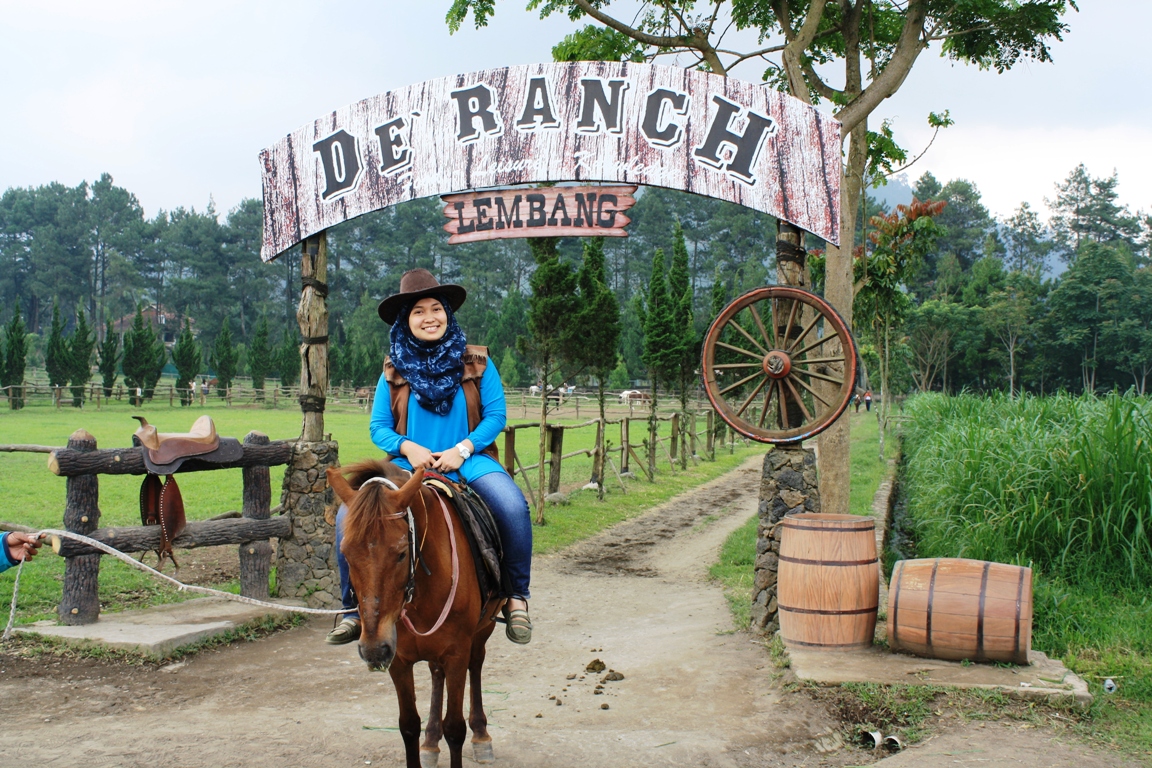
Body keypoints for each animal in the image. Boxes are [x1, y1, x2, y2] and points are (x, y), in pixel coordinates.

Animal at [327, 460, 502, 768]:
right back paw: (430, 741)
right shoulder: (397, 659)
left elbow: (454, 728)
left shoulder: (456, 654)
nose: (373, 649)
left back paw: (481, 736)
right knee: (435, 674)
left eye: (400, 553)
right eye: (345, 553)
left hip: (482, 631)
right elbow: (408, 725)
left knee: (477, 663)